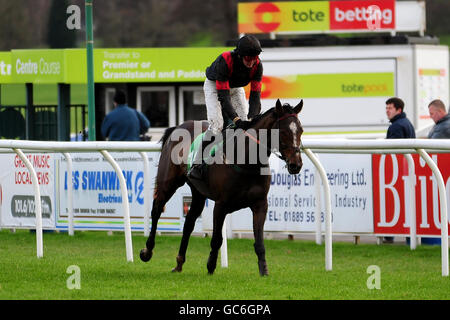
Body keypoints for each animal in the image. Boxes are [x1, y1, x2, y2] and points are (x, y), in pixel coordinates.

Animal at [139, 99, 304, 276]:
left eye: (301, 130)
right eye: (283, 132)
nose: (296, 164)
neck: (247, 162)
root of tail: (177, 127)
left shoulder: (260, 204)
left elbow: (259, 241)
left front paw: (264, 271)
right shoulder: (221, 205)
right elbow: (217, 239)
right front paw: (211, 266)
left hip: (198, 193)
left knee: (189, 223)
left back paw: (179, 262)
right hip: (168, 183)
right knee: (156, 210)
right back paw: (147, 251)